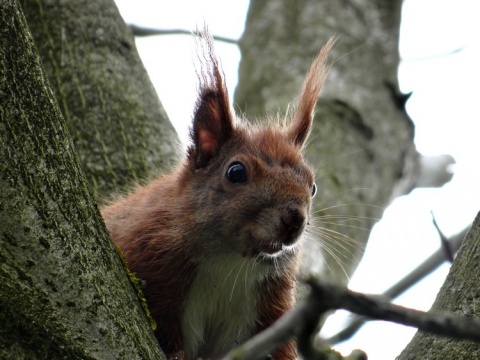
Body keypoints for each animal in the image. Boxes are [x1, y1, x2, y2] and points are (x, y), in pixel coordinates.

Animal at [101, 34, 334, 360]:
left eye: (312, 187)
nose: (295, 219)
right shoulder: (148, 256)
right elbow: (164, 319)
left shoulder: (267, 309)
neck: (230, 262)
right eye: (236, 172)